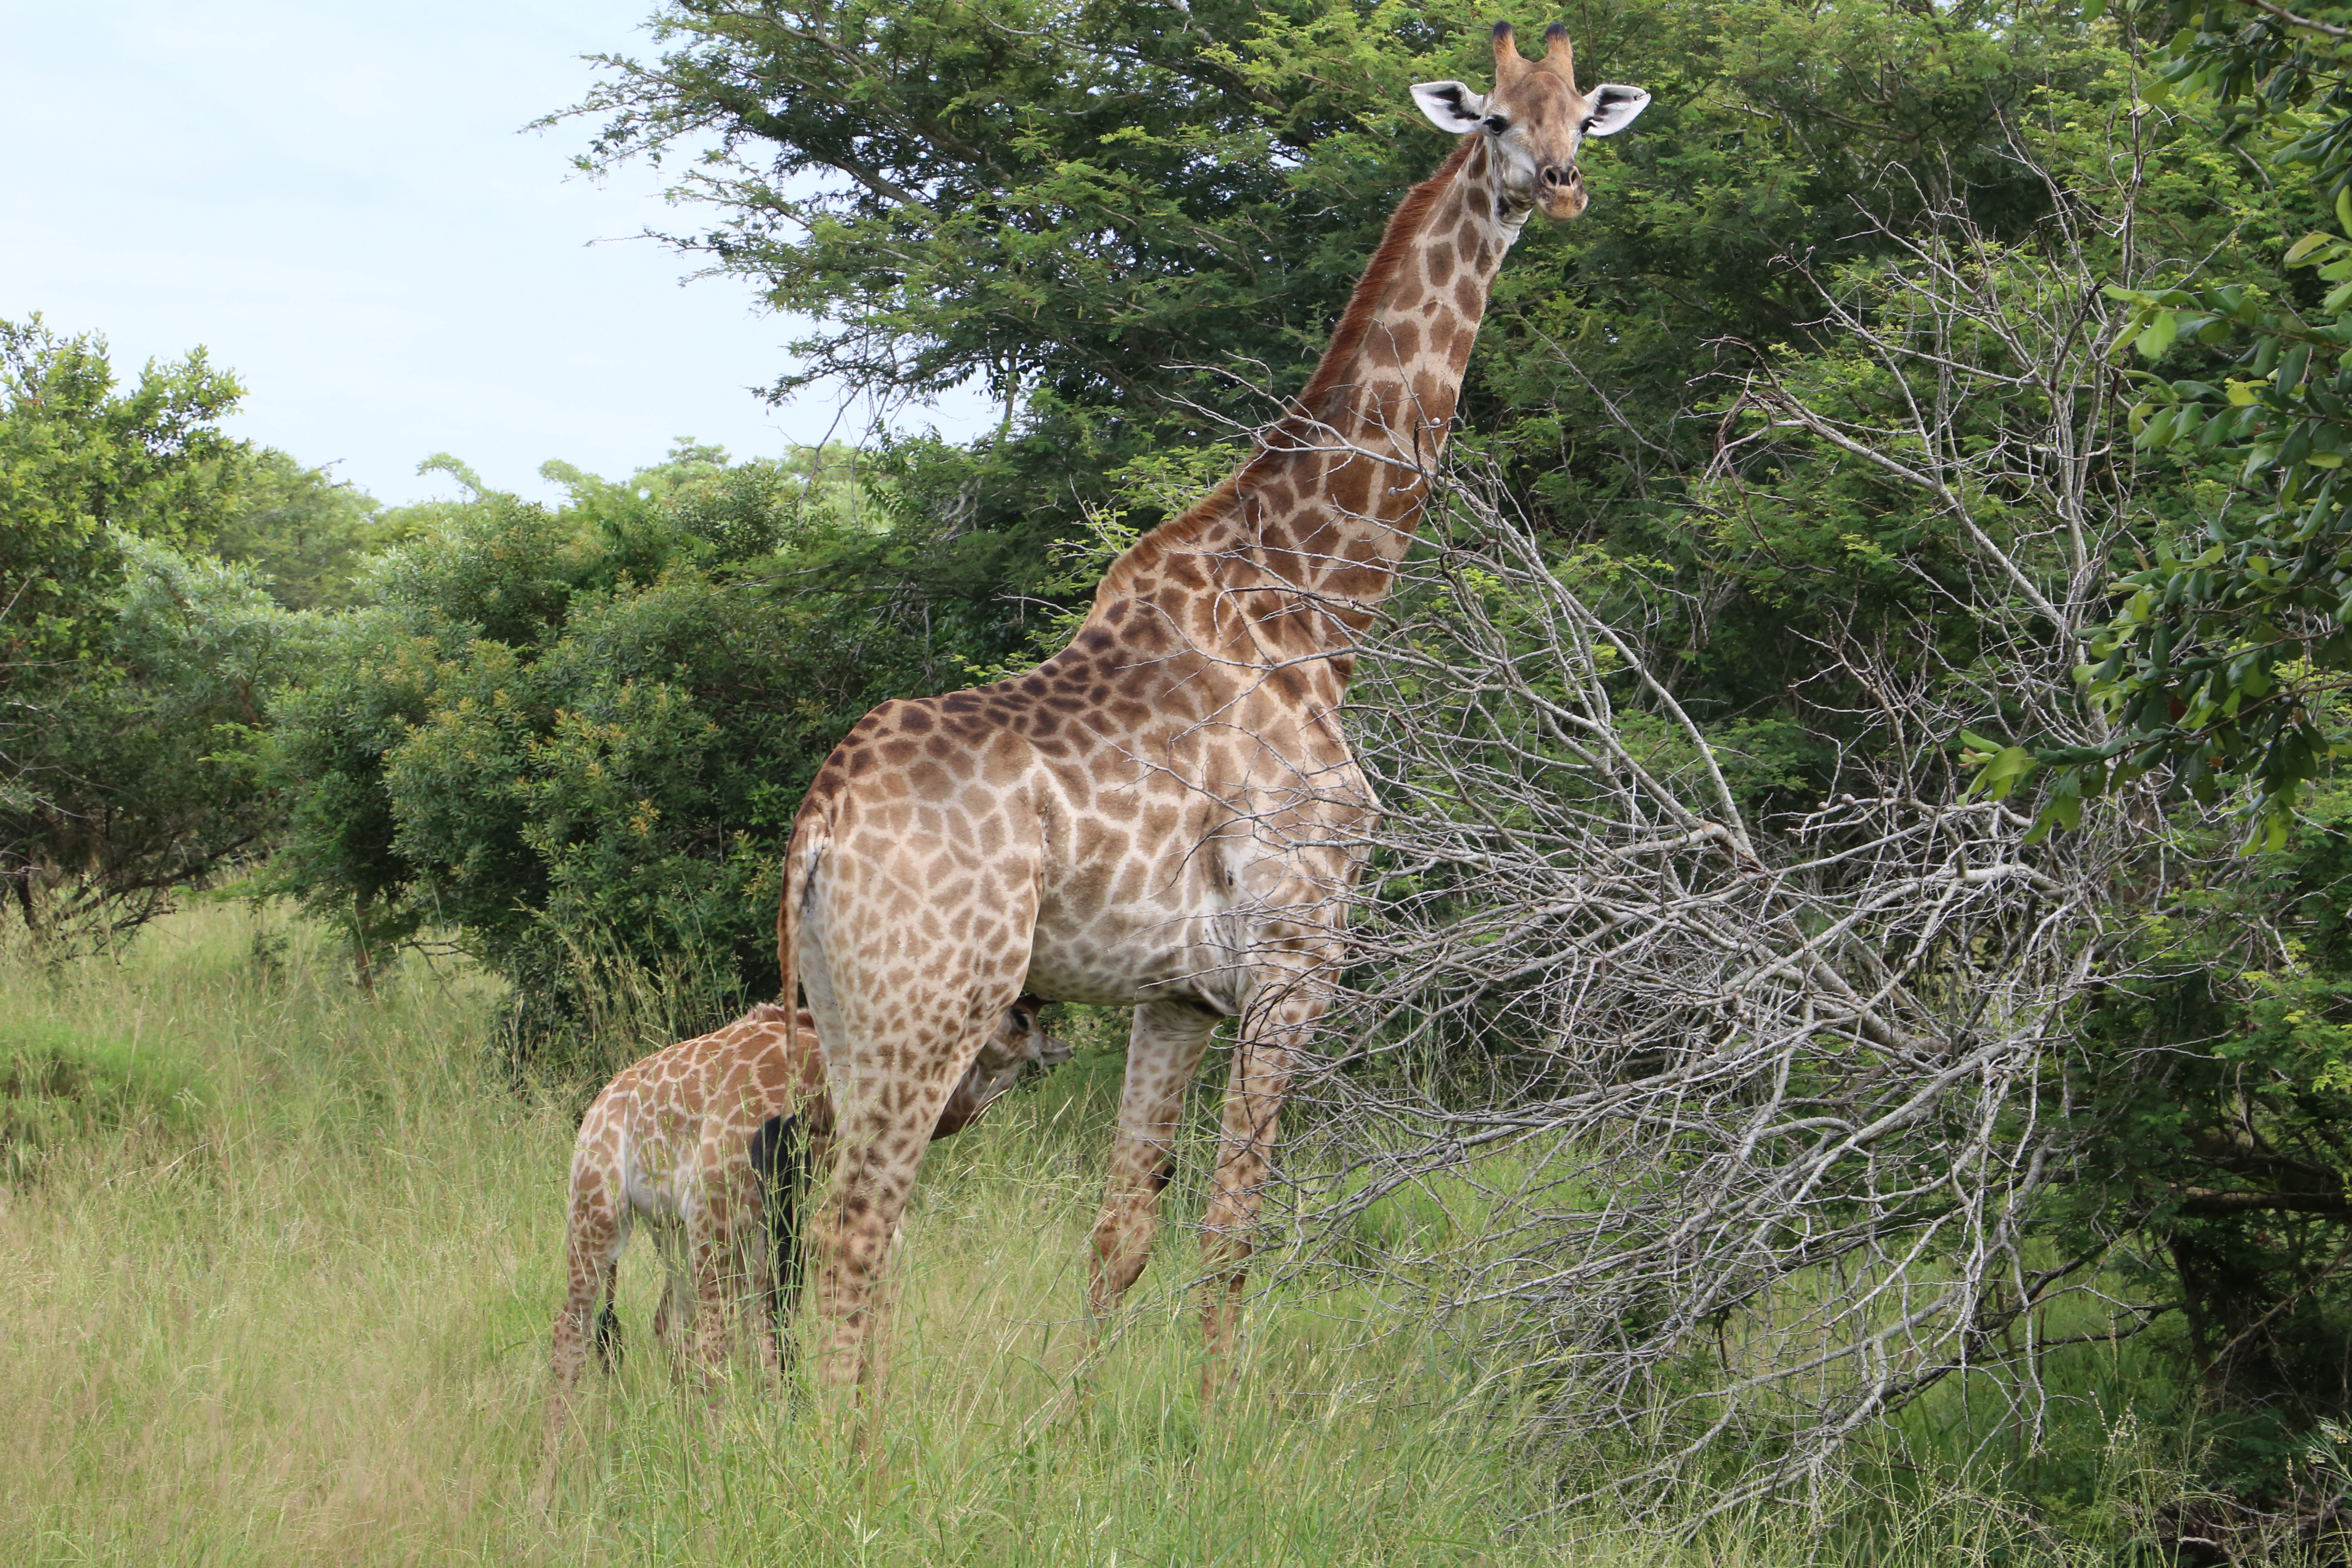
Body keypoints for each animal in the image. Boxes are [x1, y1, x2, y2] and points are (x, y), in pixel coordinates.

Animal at [543, 995, 1065, 1447]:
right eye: (1021, 1017)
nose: (1057, 1049)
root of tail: (600, 1103)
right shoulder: (741, 1219)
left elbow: (862, 1349)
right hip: (605, 1209)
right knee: (586, 1331)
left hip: (675, 1231)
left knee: (668, 1326)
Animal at [778, 20, 1650, 1407]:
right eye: (1496, 119)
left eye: (1578, 113)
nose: (1560, 186)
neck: (1314, 614)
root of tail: (817, 827)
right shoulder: (1298, 957)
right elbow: (1234, 1224)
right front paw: (1216, 1418)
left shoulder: (1173, 993)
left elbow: (1121, 1230)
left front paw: (1076, 1420)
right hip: (935, 1004)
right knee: (857, 1226)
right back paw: (838, 1444)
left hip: (850, 1009)